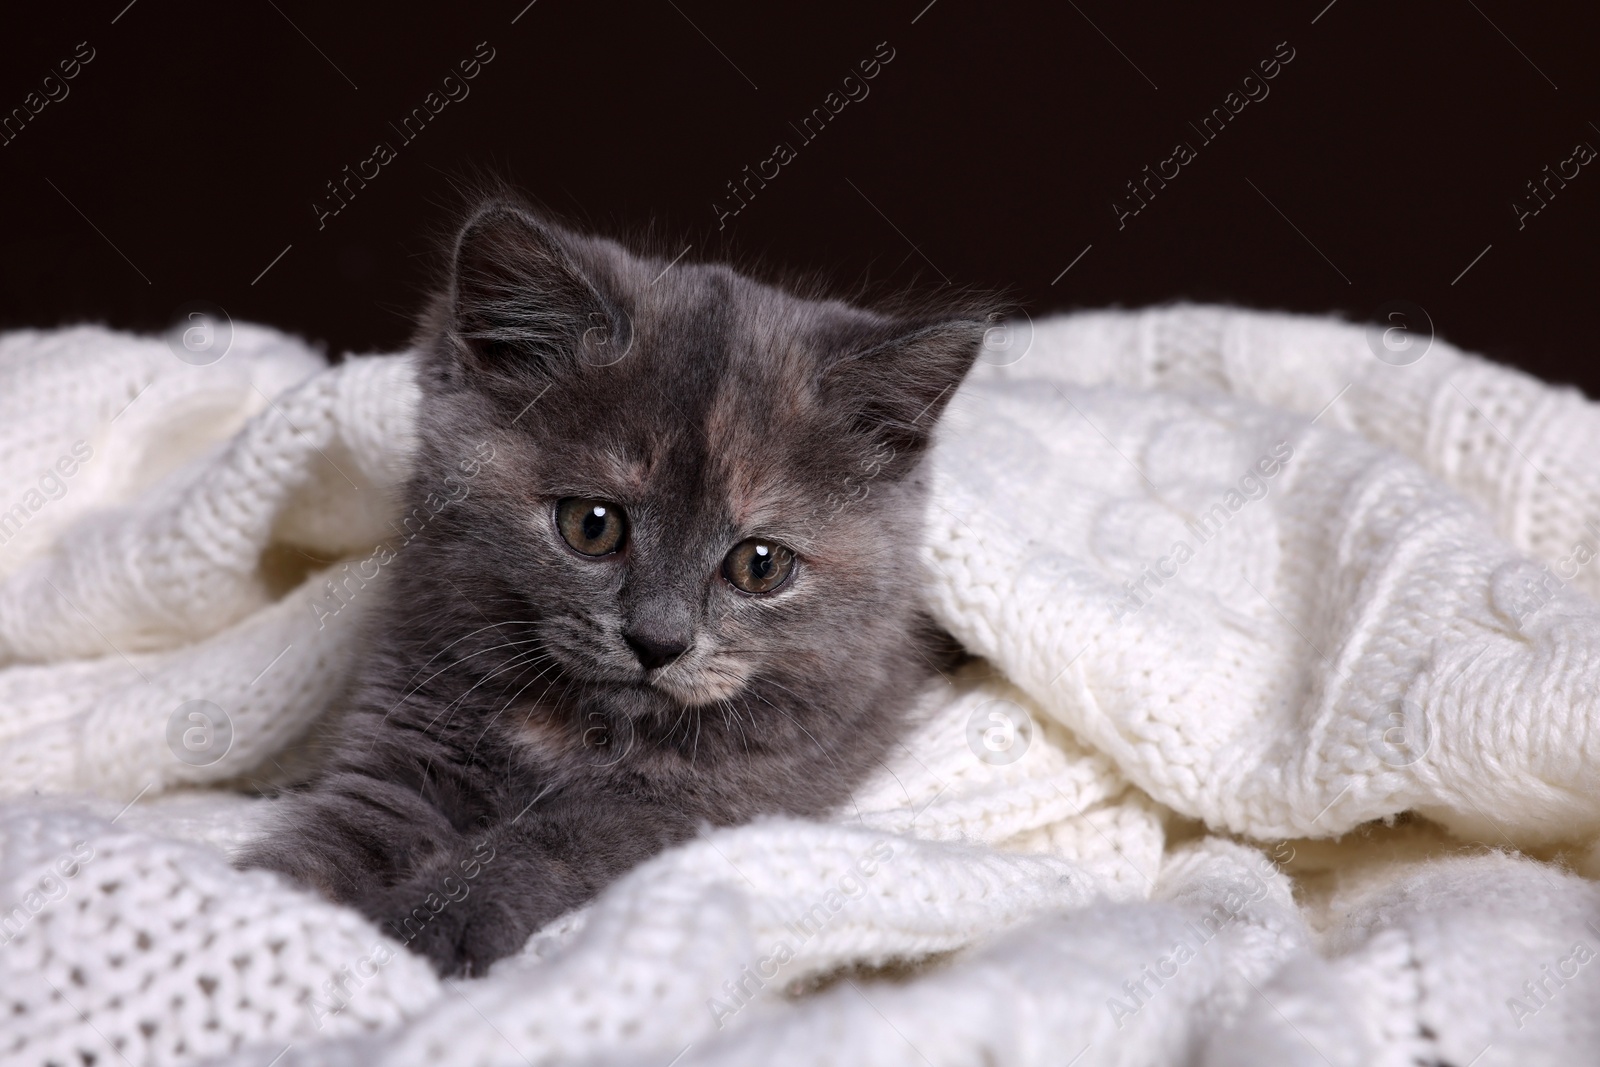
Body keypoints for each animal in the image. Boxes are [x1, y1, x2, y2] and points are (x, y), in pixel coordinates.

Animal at [240, 199, 985, 979]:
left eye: (760, 565)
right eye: (591, 524)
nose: (657, 641)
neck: (576, 726)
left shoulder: (721, 796)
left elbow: (553, 842)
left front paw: (433, 921)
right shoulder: (414, 723)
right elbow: (355, 824)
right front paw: (274, 914)